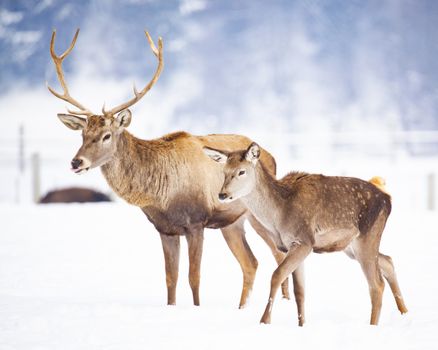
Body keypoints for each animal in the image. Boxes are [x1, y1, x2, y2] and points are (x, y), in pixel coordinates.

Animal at [48, 30, 296, 308]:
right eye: (82, 134)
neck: (160, 194)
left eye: (106, 135)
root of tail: (271, 156)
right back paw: (242, 307)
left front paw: (197, 308)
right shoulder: (165, 229)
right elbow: (170, 278)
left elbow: (194, 277)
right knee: (251, 263)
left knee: (277, 254)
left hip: (258, 215)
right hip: (232, 222)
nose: (77, 162)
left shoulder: (196, 222)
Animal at [204, 142, 408, 326]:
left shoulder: (304, 241)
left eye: (241, 172)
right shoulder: (292, 246)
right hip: (351, 247)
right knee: (388, 260)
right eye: (224, 172)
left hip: (368, 235)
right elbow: (300, 291)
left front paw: (264, 321)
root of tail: (387, 199)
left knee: (376, 284)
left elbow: (277, 275)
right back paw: (405, 313)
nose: (222, 194)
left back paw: (373, 325)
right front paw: (301, 325)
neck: (278, 215)